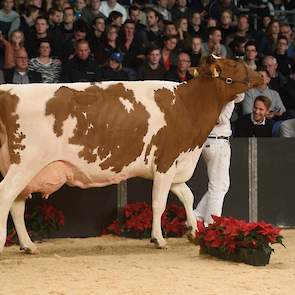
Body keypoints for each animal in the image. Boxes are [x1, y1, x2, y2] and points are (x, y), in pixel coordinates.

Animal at [0, 58, 264, 254]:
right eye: (234, 64)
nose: (261, 74)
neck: (187, 106)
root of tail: (8, 91)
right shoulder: (166, 162)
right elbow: (159, 202)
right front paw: (158, 239)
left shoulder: (175, 165)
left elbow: (187, 196)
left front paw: (193, 231)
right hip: (26, 163)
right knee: (6, 195)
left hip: (22, 168)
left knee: (17, 205)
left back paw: (28, 245)